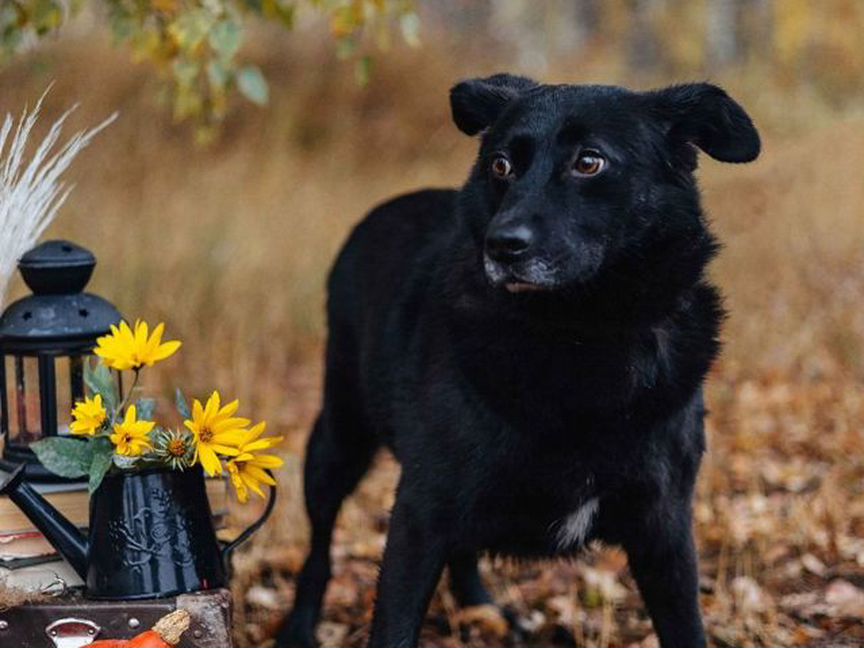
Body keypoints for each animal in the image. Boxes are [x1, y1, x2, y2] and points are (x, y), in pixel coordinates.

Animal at [276, 74, 756, 648]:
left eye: (589, 162)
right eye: (501, 164)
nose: (501, 246)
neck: (578, 335)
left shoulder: (664, 524)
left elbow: (687, 627)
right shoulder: (420, 510)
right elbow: (393, 625)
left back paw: (481, 608)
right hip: (338, 438)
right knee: (320, 546)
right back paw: (300, 626)